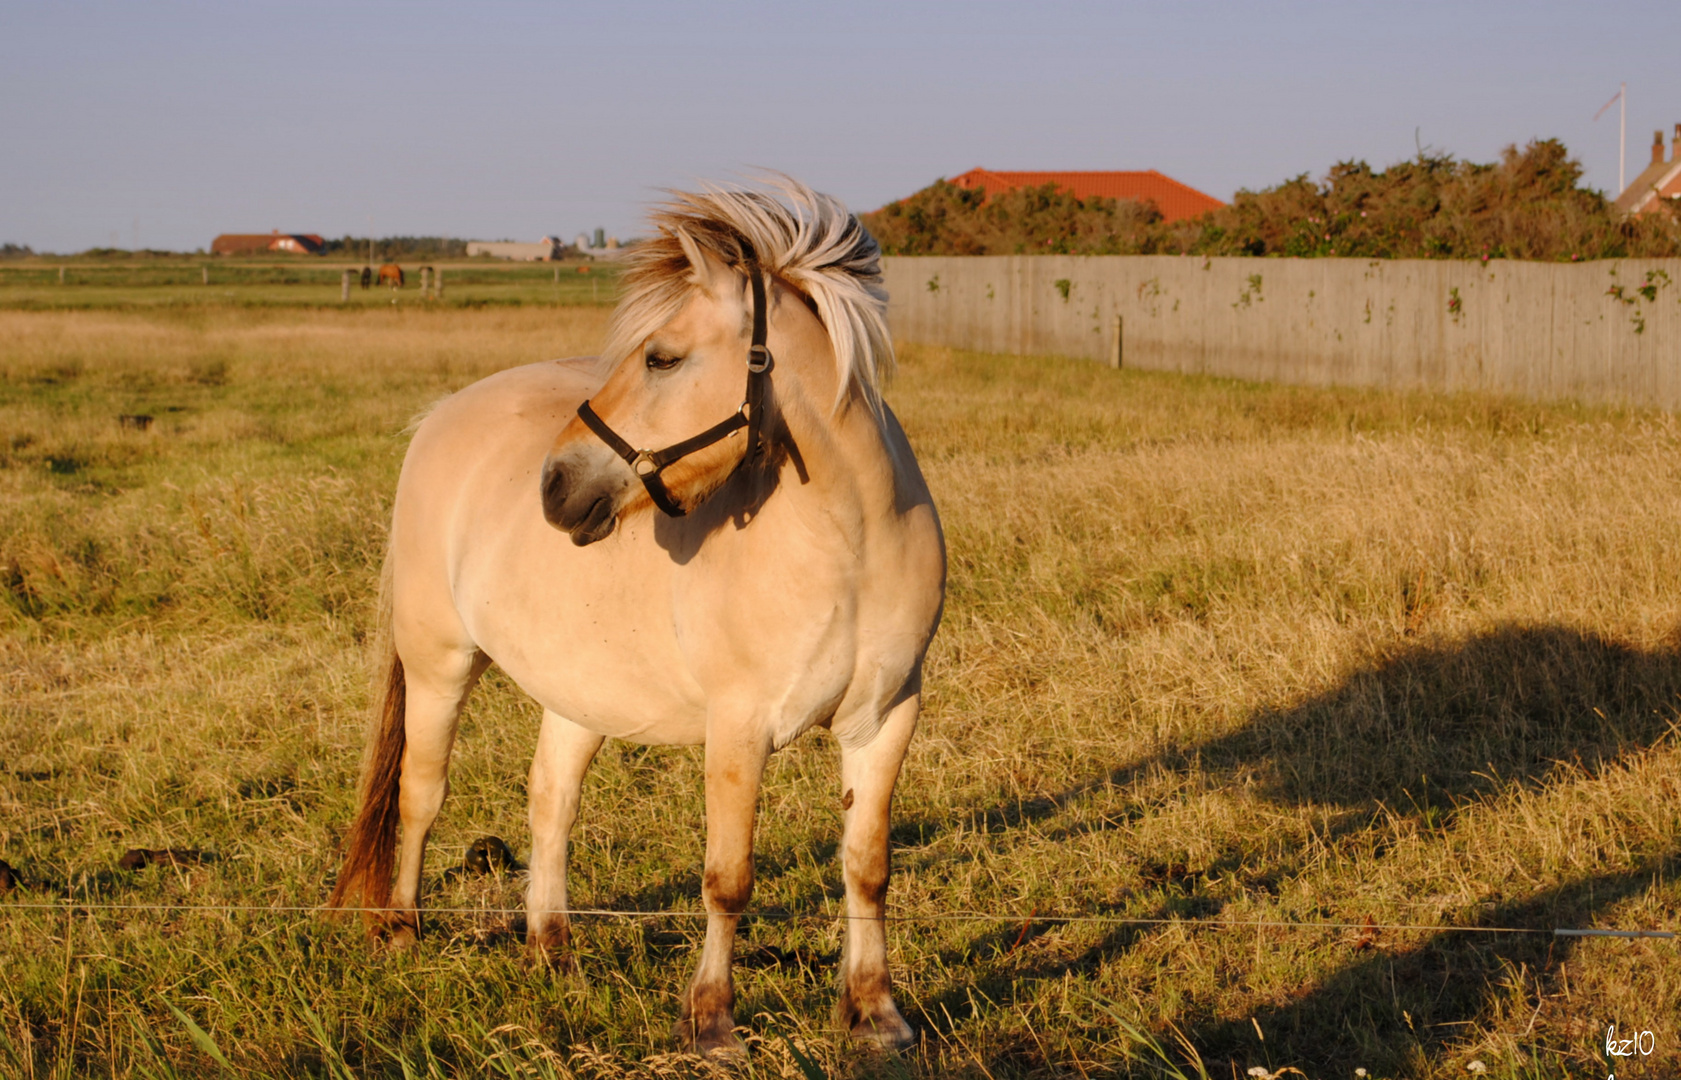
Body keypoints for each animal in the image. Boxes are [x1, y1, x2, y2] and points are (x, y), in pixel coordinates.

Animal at [327, 178, 948, 1049]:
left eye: (662, 357)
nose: (555, 486)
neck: (851, 542)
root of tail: (441, 415)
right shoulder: (738, 729)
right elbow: (728, 878)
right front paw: (711, 1021)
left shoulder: (885, 719)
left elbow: (867, 867)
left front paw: (875, 1013)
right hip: (438, 664)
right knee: (421, 792)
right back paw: (402, 931)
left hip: (576, 691)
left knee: (550, 801)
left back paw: (551, 950)